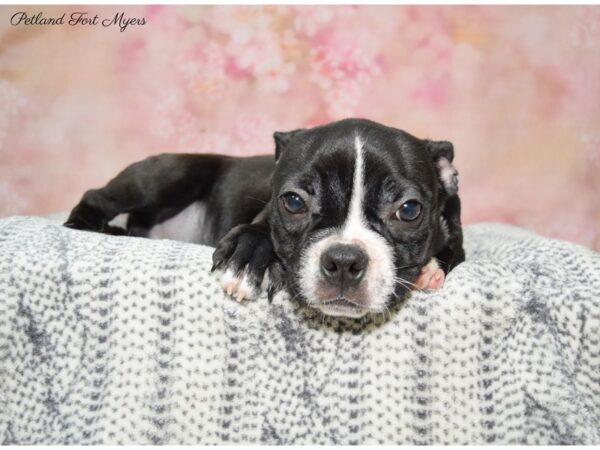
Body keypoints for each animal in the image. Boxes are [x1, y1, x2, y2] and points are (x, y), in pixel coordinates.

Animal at [65, 118, 464, 318]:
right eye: (293, 202)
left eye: (408, 211)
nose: (344, 261)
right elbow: (258, 227)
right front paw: (247, 259)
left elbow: (453, 250)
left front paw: (430, 269)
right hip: (167, 174)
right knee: (97, 196)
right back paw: (86, 225)